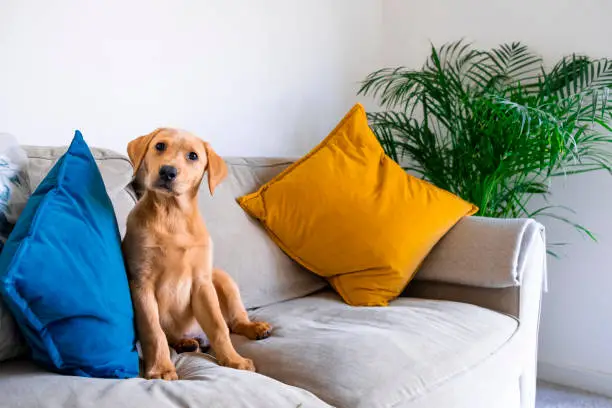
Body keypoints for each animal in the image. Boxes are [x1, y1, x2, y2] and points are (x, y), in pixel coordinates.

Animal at [122, 129, 270, 380]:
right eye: (159, 146)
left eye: (193, 156)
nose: (168, 171)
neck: (172, 214)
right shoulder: (141, 284)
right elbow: (153, 331)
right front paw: (161, 368)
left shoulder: (201, 282)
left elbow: (219, 327)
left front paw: (234, 360)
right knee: (170, 336)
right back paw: (185, 343)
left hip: (221, 277)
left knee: (233, 322)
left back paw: (254, 327)